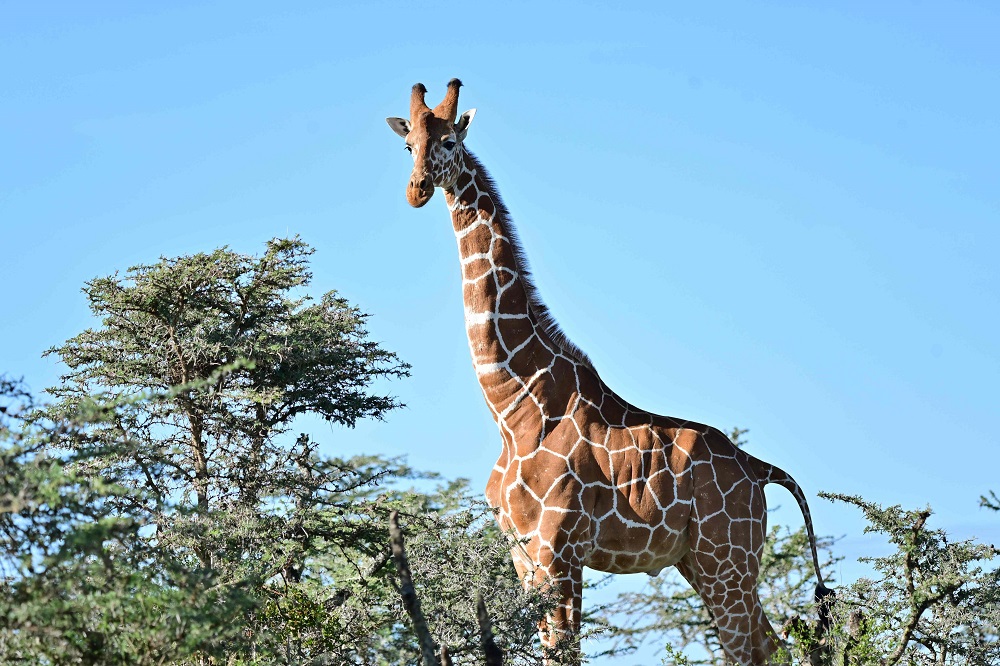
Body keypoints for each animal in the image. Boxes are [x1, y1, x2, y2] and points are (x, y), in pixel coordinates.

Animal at [386, 79, 831, 665]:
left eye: (449, 143)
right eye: (407, 144)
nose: (415, 190)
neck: (513, 406)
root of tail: (761, 470)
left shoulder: (557, 549)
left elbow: (565, 652)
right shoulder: (522, 551)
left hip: (725, 562)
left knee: (754, 649)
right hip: (700, 561)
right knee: (768, 645)